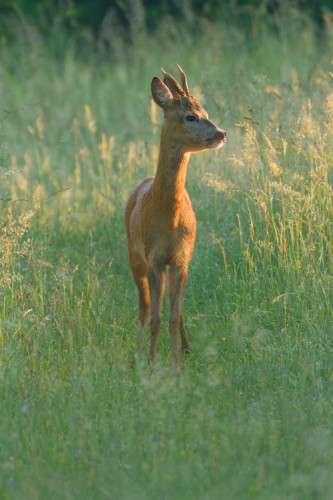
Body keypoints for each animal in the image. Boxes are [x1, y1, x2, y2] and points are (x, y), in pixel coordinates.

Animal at [124, 64, 226, 366]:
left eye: (206, 112)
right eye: (190, 116)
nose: (221, 134)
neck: (168, 218)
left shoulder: (181, 257)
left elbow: (172, 315)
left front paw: (177, 365)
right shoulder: (155, 257)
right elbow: (156, 317)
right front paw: (151, 363)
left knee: (173, 310)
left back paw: (186, 348)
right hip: (134, 254)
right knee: (144, 307)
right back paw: (135, 357)